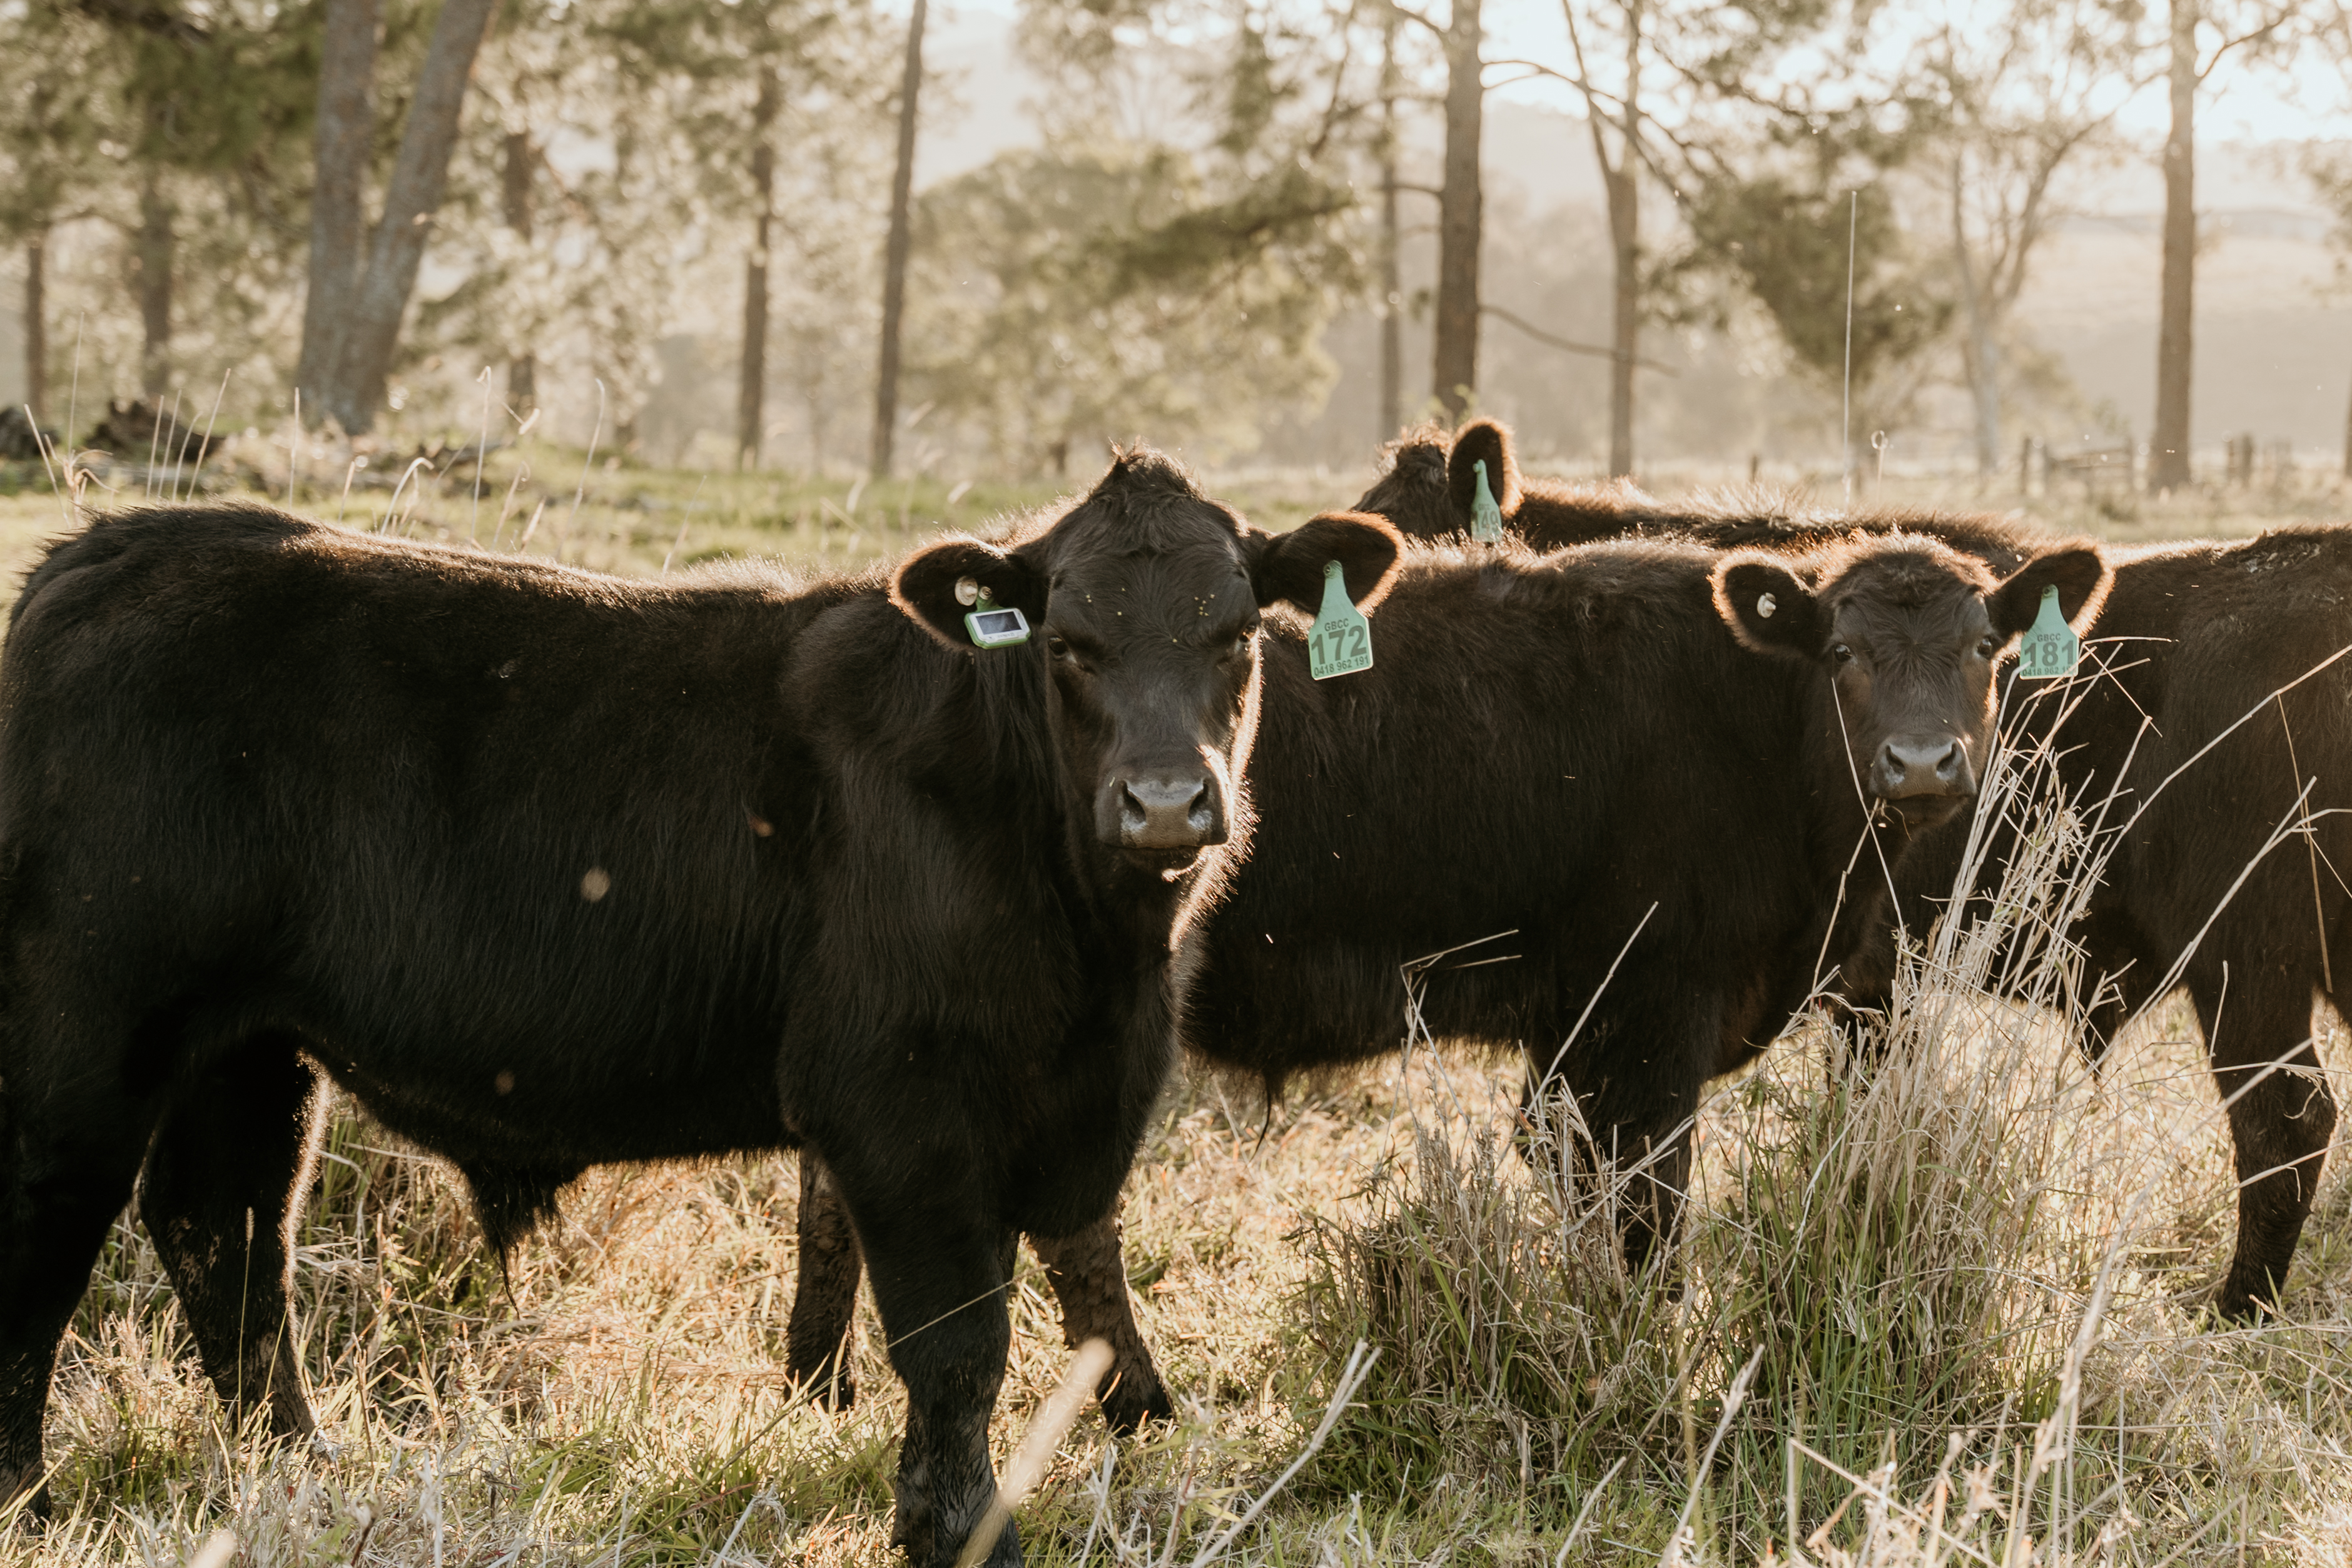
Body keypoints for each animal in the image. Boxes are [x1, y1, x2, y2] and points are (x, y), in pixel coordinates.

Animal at [0, 456, 1403, 1568]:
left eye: (1237, 633)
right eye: (1068, 641)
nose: (1164, 800)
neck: (1099, 955)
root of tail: (104, 554)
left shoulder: (1070, 1106)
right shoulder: (902, 1105)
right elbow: (957, 1343)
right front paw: (961, 1531)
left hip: (247, 1045)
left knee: (227, 1230)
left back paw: (299, 1469)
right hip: (83, 1030)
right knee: (53, 1228)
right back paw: (32, 1496)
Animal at [785, 523, 2112, 1426]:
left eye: (1984, 648)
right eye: (1842, 649)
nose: (1923, 761)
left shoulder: (1581, 1042)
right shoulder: (1647, 1028)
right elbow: (1651, 1217)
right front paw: (1645, 1371)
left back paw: (820, 1376)